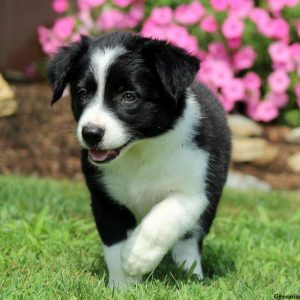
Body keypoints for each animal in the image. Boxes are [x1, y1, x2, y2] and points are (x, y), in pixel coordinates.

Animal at [48, 31, 232, 288]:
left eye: (128, 96)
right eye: (82, 93)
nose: (91, 133)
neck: (139, 152)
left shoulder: (194, 191)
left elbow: (163, 218)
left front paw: (137, 258)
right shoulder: (105, 198)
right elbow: (113, 244)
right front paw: (123, 285)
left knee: (190, 238)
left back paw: (189, 271)